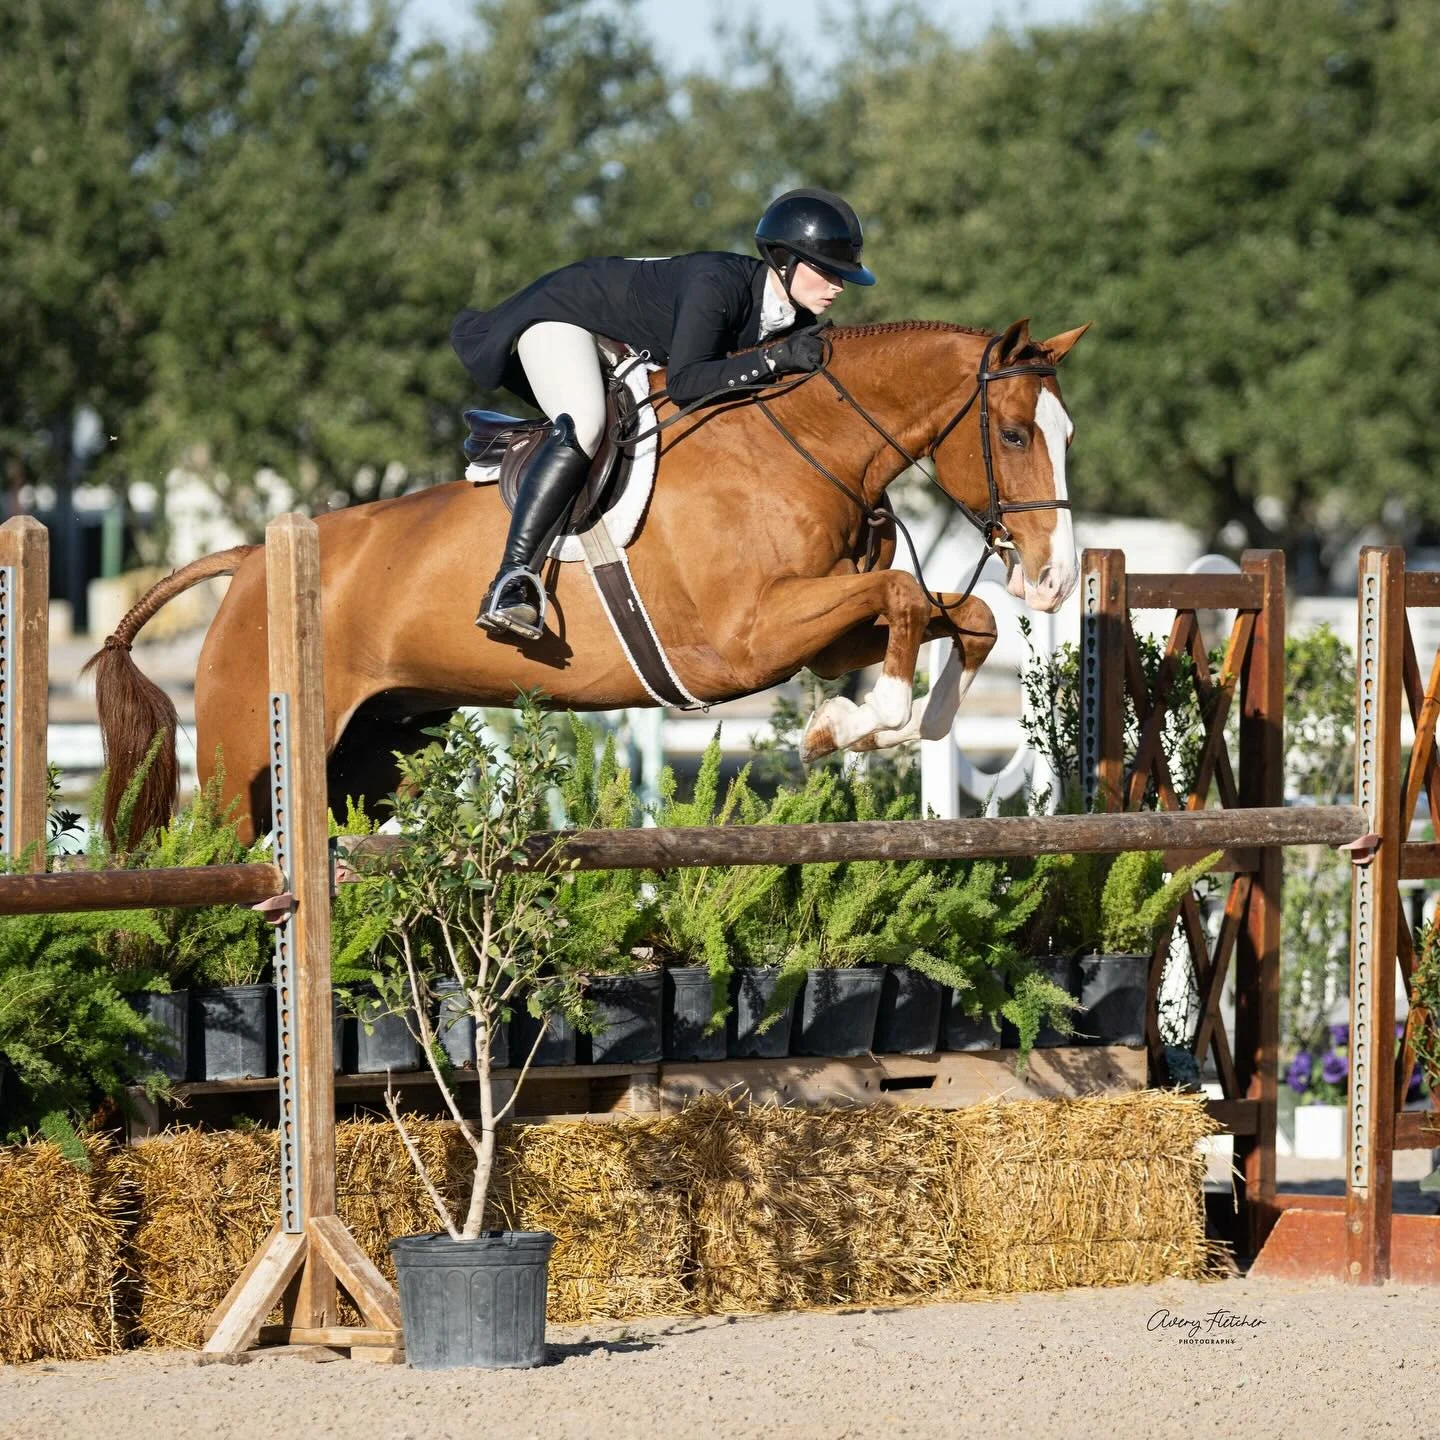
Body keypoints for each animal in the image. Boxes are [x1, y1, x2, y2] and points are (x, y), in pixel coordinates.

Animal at [86, 316, 1088, 845]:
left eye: (1065, 432)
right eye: (1012, 434)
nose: (1052, 580)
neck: (800, 445)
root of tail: (250, 558)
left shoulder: (819, 627)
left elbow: (955, 613)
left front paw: (912, 722)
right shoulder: (744, 642)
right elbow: (906, 599)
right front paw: (855, 724)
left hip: (366, 763)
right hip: (242, 769)